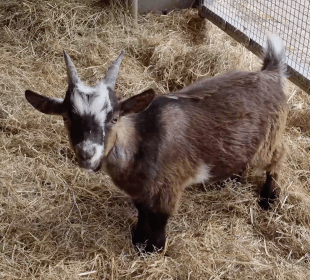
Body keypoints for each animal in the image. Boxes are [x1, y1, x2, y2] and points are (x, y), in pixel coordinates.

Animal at [24, 34, 288, 253]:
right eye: (66, 117)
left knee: (277, 159)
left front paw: (154, 248)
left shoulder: (170, 185)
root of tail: (270, 73)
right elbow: (142, 211)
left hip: (269, 141)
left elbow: (160, 217)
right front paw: (138, 239)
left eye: (114, 117)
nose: (87, 153)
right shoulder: (141, 191)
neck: (141, 141)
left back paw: (268, 198)